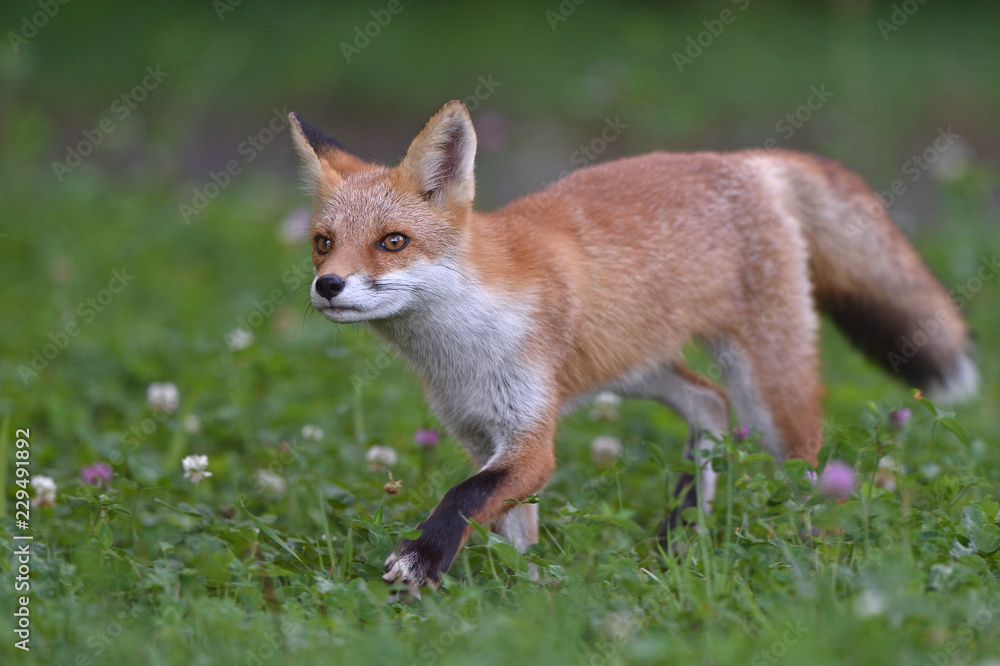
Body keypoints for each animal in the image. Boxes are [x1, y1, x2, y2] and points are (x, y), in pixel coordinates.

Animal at [288, 98, 976, 588]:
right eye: (322, 242)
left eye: (393, 241)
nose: (328, 285)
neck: (461, 345)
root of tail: (747, 160)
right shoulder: (480, 434)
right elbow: (513, 528)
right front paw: (526, 595)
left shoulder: (531, 439)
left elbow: (463, 497)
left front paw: (423, 560)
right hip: (632, 365)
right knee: (709, 404)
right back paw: (682, 533)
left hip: (767, 388)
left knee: (812, 469)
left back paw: (813, 563)